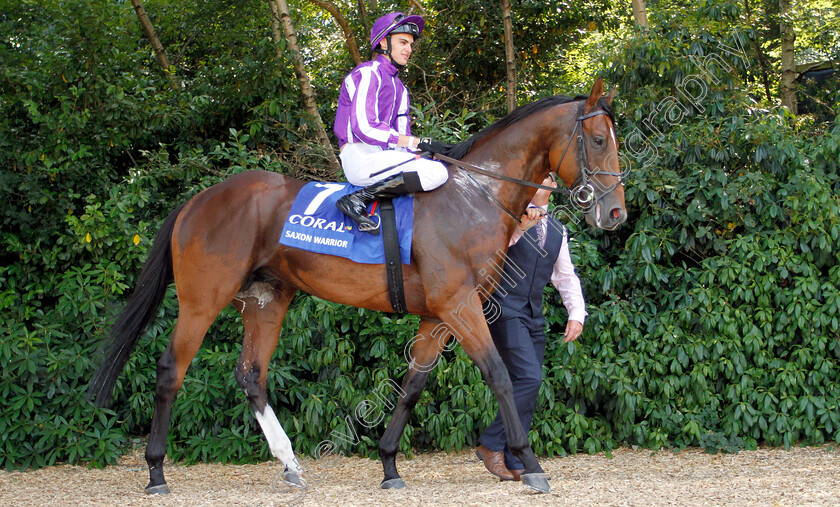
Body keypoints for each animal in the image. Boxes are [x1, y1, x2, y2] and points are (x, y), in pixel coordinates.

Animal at [88, 79, 628, 496]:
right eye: (599, 140)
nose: (616, 212)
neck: (475, 195)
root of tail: (198, 199)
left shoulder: (437, 316)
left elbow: (412, 387)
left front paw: (388, 464)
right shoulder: (461, 306)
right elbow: (497, 374)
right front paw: (530, 464)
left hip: (267, 300)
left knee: (251, 375)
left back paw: (290, 465)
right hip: (203, 300)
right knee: (170, 370)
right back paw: (156, 472)